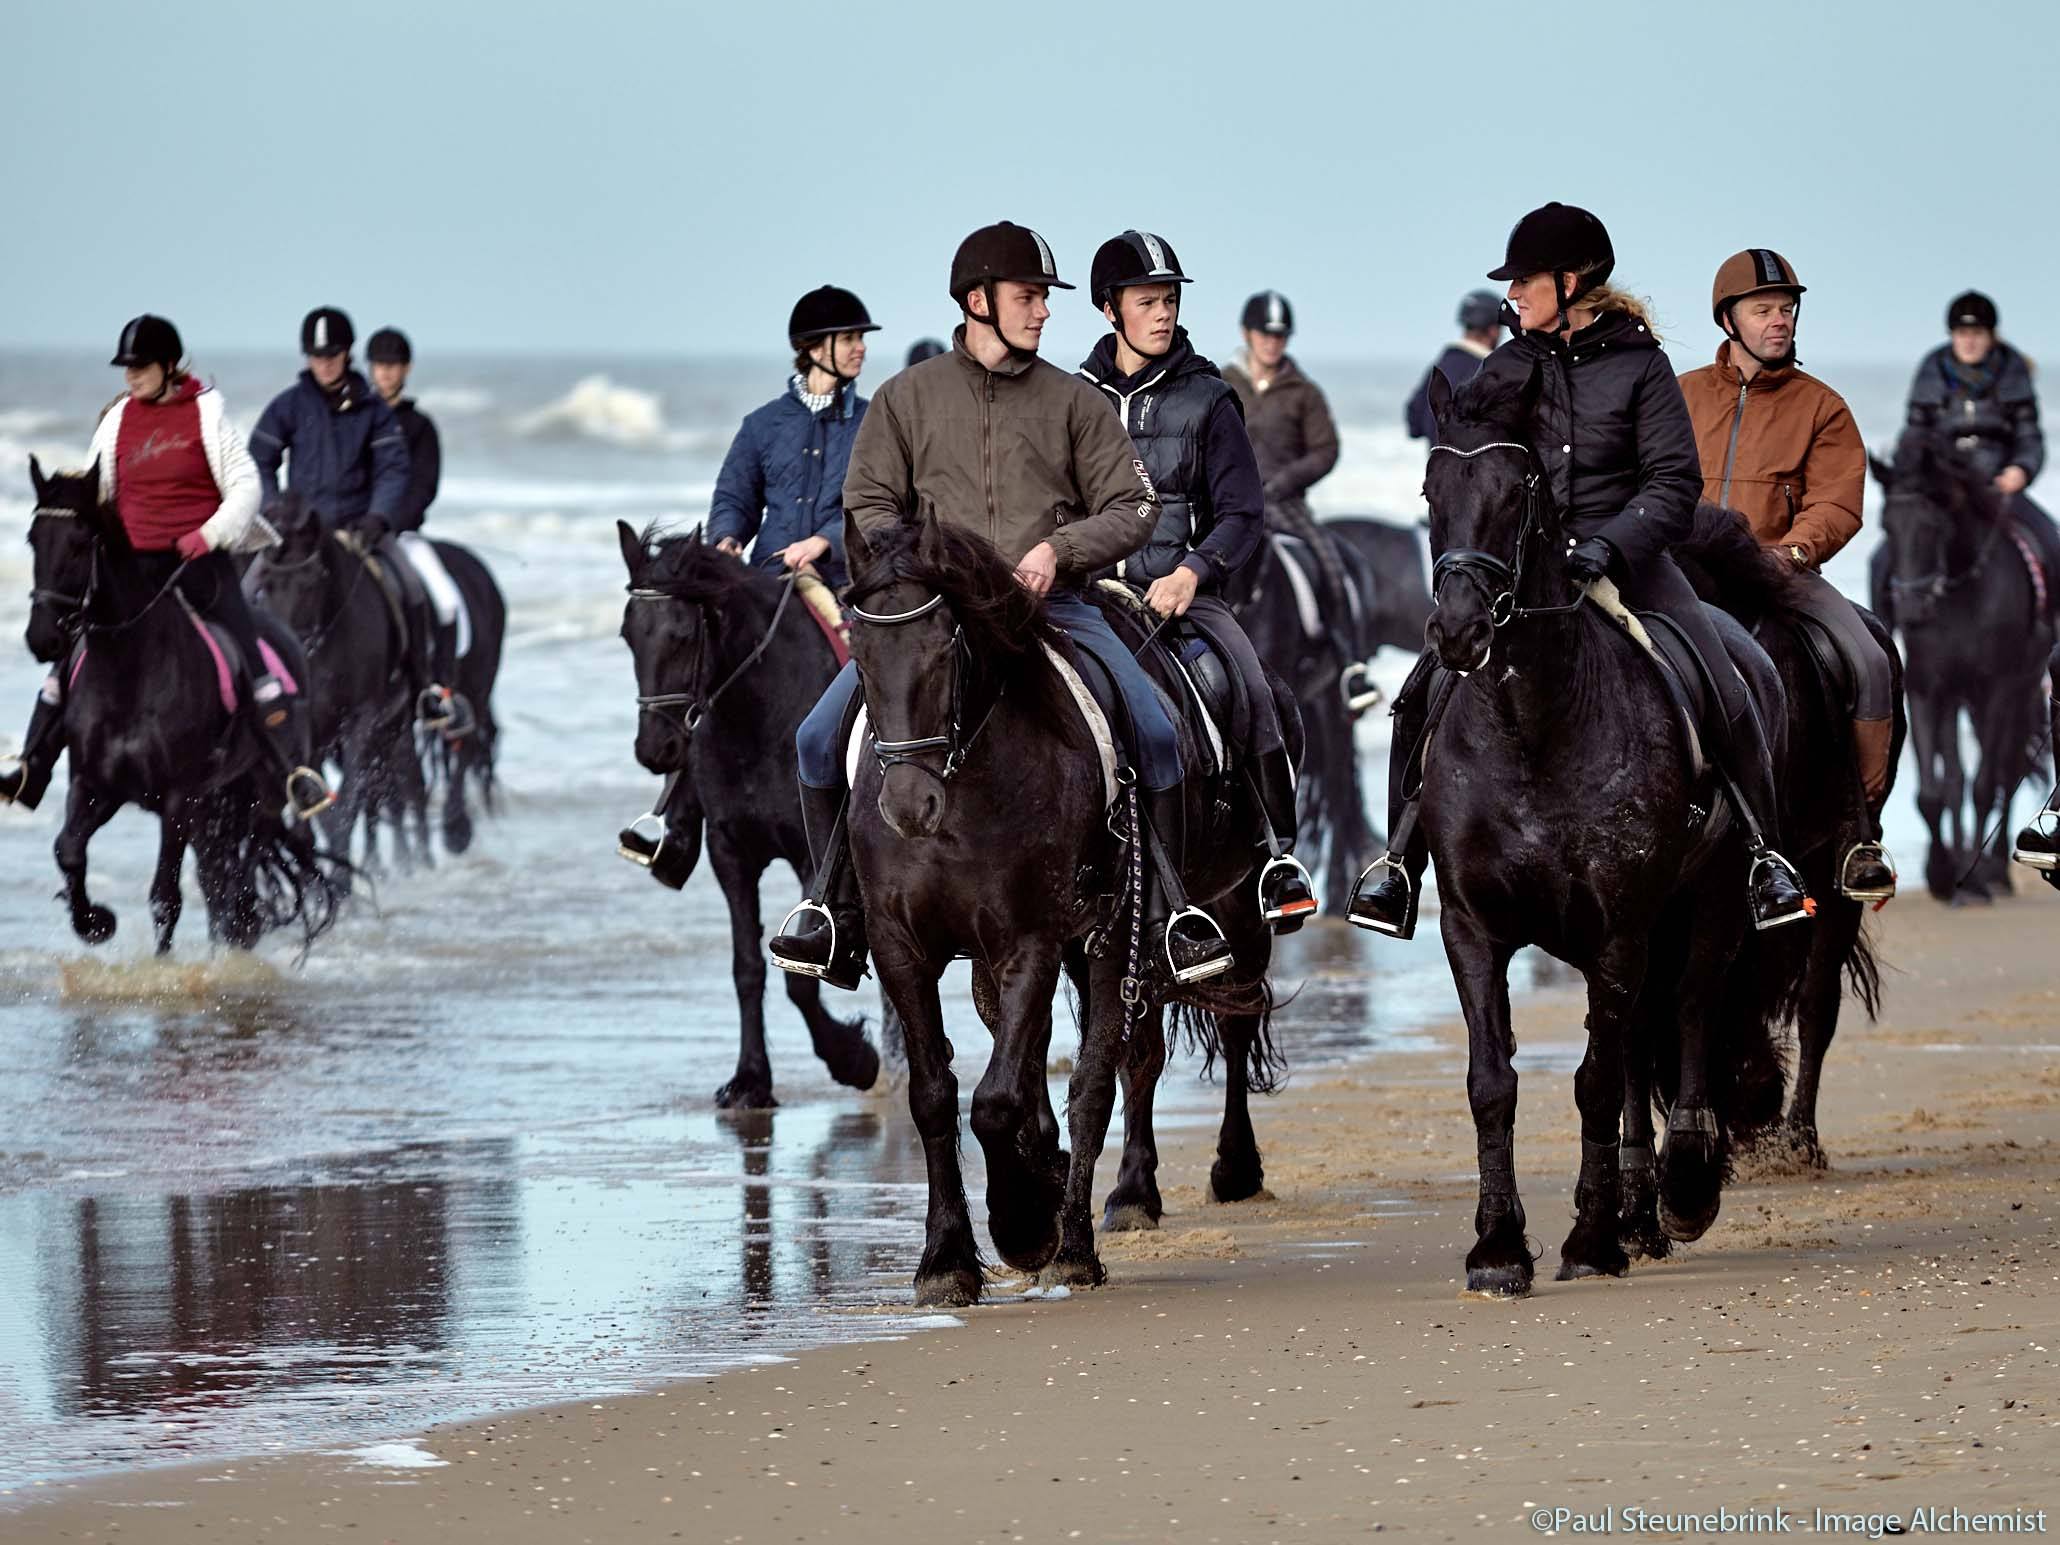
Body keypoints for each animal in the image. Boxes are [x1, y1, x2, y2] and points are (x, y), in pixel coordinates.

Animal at [613, 527, 881, 1104]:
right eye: (627, 635)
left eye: (682, 634)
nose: (656, 750)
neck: (761, 714)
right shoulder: (730, 855)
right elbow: (747, 969)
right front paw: (750, 1079)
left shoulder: (810, 860)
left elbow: (799, 977)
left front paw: (853, 1059)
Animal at [836, 517, 1285, 1310]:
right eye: (857, 652)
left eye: (945, 648)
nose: (908, 807)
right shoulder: (903, 949)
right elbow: (936, 1094)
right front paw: (946, 1258)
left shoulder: (1031, 941)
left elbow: (999, 1098)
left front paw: (1024, 1226)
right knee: (1120, 1061)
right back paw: (1116, 1193)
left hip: (1207, 914)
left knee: (1185, 1044)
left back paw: (1147, 1209)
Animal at [1417, 368, 1804, 1301]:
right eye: (1431, 491)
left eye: (1515, 491)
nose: (1458, 631)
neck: (1533, 726)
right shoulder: (1470, 925)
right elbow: (1494, 1082)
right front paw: (1497, 1246)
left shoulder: (1620, 921)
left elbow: (1594, 1080)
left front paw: (1589, 1238)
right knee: (1634, 1042)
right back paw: (1638, 1210)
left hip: (1704, 904)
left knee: (1690, 1009)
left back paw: (1682, 1187)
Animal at [1878, 430, 2051, 902]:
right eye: (1886, 525)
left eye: (1934, 526)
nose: (1911, 608)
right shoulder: (1929, 689)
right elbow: (1935, 790)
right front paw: (1942, 874)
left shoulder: (1997, 690)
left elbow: (1983, 784)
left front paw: (1974, 878)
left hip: (2021, 690)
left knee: (2007, 770)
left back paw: (1997, 872)